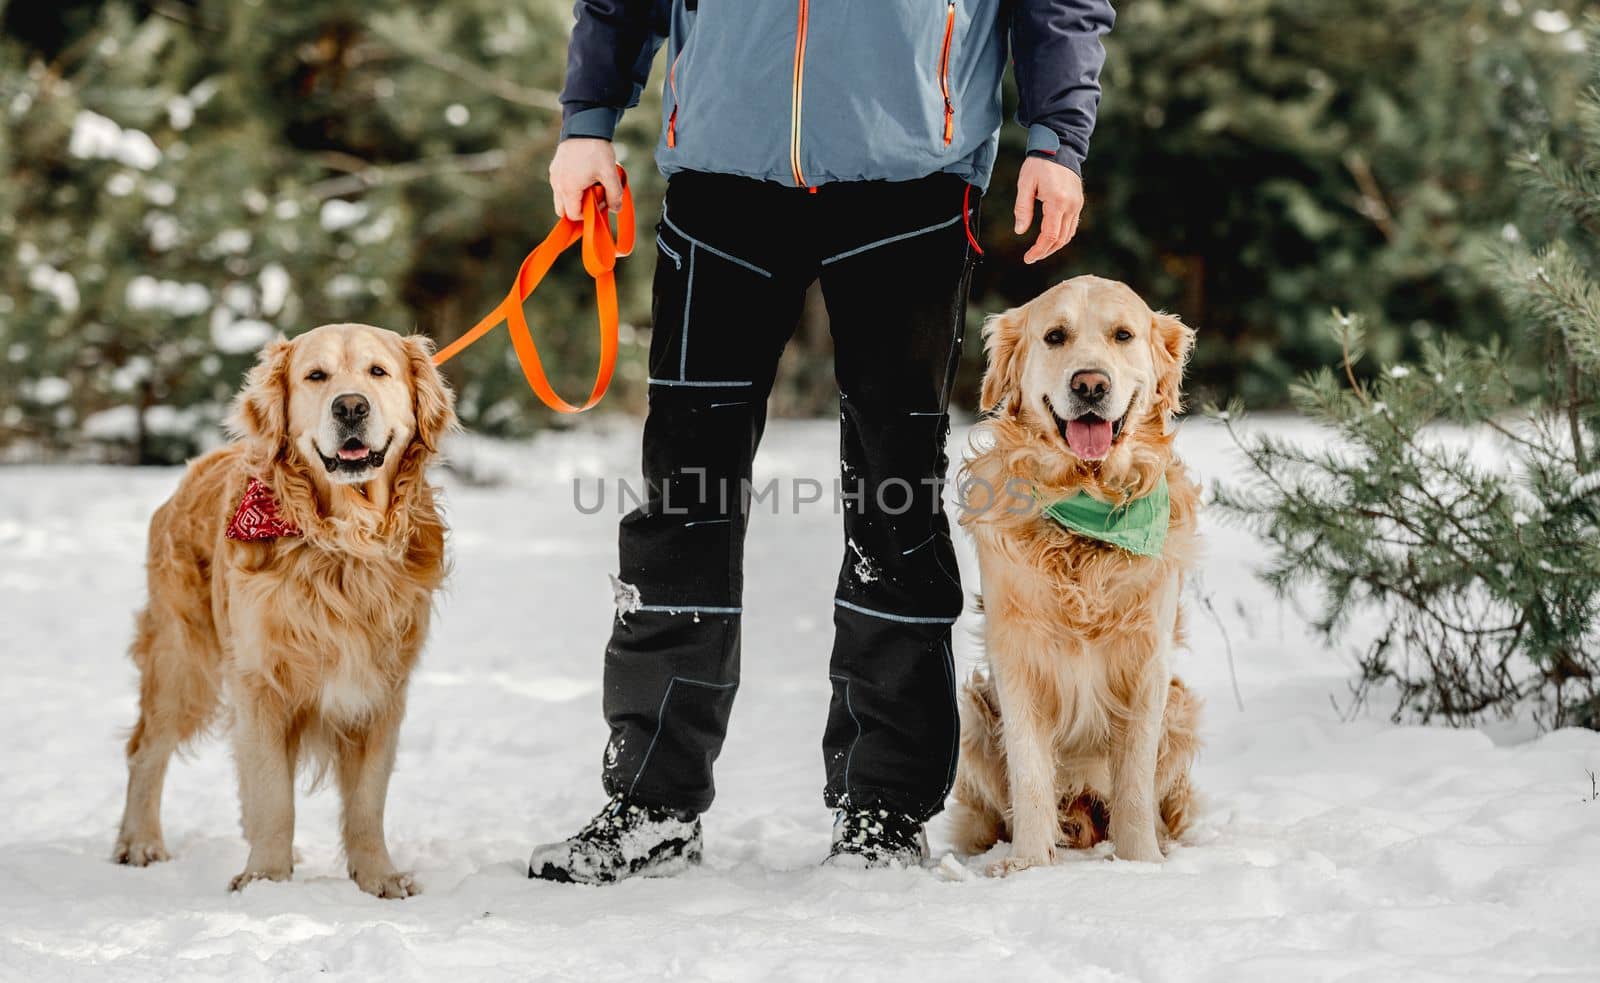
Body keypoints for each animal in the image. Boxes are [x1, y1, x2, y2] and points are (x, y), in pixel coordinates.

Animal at [115, 323, 454, 902]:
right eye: (315, 376)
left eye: (378, 372)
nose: (350, 407)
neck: (344, 544)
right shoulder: (261, 684)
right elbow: (274, 794)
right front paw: (267, 881)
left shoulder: (380, 689)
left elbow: (367, 801)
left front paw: (378, 877)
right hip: (182, 659)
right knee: (147, 748)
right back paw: (140, 842)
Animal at [947, 276, 1203, 877]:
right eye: (1055, 336)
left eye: (1123, 335)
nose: (1090, 384)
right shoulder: (1016, 657)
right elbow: (1030, 775)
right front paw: (1027, 868)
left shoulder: (1147, 662)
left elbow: (1133, 781)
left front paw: (1142, 863)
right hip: (973, 714)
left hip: (1181, 708)